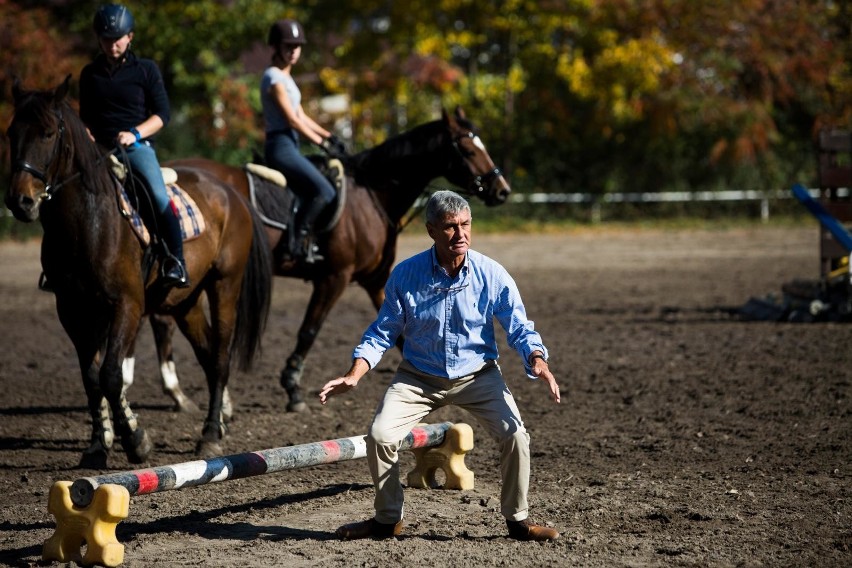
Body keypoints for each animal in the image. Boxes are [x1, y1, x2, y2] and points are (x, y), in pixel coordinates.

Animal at [5, 76, 272, 466]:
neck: (89, 223)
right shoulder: (72, 310)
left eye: (48, 133)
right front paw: (98, 446)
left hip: (225, 286)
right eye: (11, 132)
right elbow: (92, 378)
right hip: (184, 302)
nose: (19, 201)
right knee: (208, 355)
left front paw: (135, 440)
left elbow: (111, 374)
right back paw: (218, 421)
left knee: (221, 357)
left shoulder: (127, 305)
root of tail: (230, 191)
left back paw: (210, 436)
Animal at [169, 104, 510, 410]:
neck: (372, 195)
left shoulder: (378, 282)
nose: (502, 190)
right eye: (467, 149)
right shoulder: (335, 277)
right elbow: (309, 330)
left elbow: (402, 337)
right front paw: (293, 390)